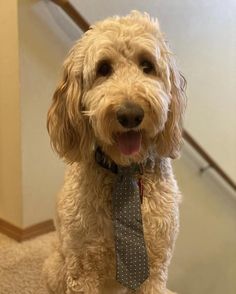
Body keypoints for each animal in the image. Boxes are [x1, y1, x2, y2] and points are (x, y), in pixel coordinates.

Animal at [42, 10, 186, 292]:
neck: (125, 171)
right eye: (103, 69)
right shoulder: (82, 269)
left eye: (147, 65)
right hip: (55, 269)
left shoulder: (156, 266)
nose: (130, 114)